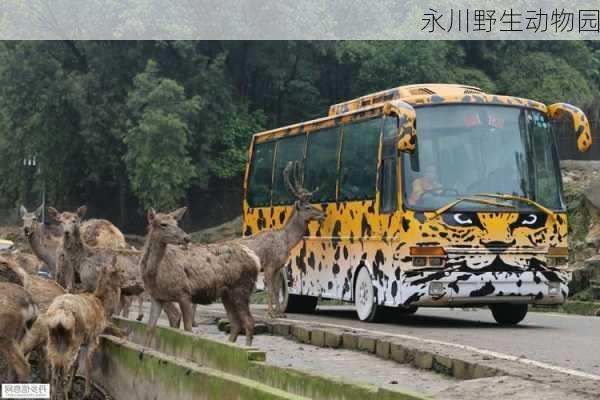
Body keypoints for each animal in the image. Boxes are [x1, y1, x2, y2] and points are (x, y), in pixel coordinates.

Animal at [46, 256, 126, 400]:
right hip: (73, 339)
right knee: (63, 369)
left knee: (55, 368)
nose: (129, 282)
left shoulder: (82, 343)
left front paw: (71, 390)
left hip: (53, 339)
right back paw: (65, 395)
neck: (104, 307)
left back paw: (55, 395)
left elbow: (77, 365)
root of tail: (61, 312)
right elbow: (89, 364)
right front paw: (87, 393)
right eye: (122, 270)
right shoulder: (94, 337)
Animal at [141, 209, 262, 346]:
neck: (154, 275)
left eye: (176, 223)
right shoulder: (157, 297)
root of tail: (255, 258)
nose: (186, 238)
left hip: (241, 288)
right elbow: (150, 329)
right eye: (163, 224)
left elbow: (187, 329)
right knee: (235, 323)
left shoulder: (184, 293)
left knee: (249, 322)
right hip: (226, 294)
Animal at [240, 161, 324, 318]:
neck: (286, 242)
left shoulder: (279, 266)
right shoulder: (269, 265)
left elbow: (277, 288)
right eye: (308, 207)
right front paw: (271, 313)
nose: (323, 214)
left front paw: (280, 313)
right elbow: (270, 289)